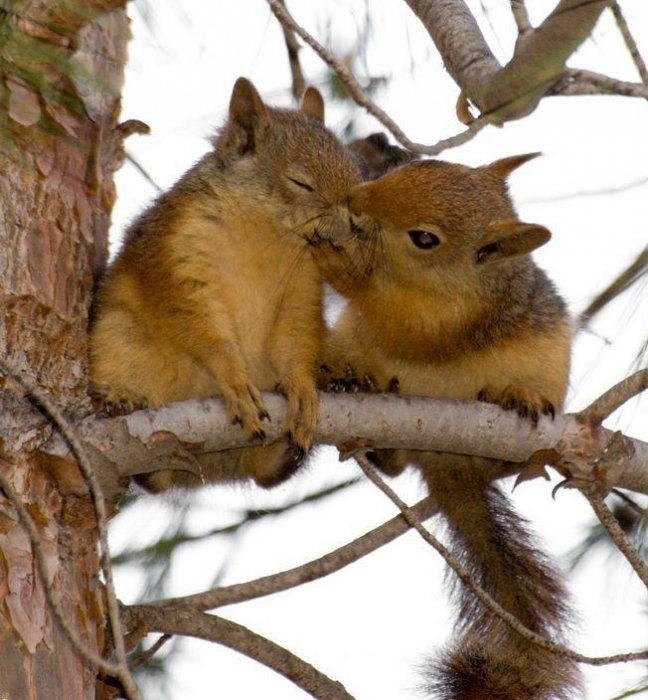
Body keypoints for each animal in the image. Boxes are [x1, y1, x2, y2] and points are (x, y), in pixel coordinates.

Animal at [86, 79, 362, 490]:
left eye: (354, 169)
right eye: (301, 182)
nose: (356, 222)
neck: (268, 234)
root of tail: (212, 470)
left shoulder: (302, 288)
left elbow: (295, 338)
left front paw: (301, 386)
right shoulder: (179, 256)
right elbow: (200, 325)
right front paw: (234, 377)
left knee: (265, 474)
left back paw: (290, 446)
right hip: (116, 338)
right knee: (153, 478)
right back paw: (122, 403)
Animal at [318, 145, 584, 696]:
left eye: (425, 238)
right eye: (414, 168)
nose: (355, 198)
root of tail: (448, 465)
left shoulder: (448, 319)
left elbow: (403, 321)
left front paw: (335, 260)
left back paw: (518, 398)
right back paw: (365, 407)